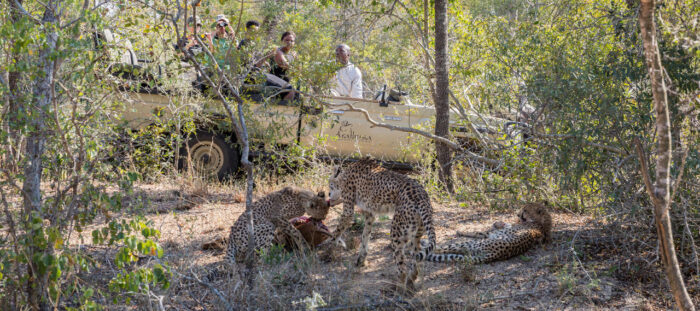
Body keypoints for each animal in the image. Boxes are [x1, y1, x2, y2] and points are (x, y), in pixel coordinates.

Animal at [326, 160, 434, 294]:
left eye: (330, 184)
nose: (328, 194)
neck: (344, 176)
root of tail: (422, 195)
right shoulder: (370, 214)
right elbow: (365, 235)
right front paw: (361, 259)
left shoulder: (348, 212)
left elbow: (337, 231)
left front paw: (327, 249)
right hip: (416, 233)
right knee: (417, 258)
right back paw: (410, 280)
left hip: (396, 233)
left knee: (402, 266)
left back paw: (398, 289)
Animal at [422, 204, 552, 264]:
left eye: (525, 210)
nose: (517, 214)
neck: (542, 222)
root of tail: (496, 255)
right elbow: (503, 224)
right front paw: (498, 222)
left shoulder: (488, 234)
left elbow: (475, 232)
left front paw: (460, 231)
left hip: (471, 244)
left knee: (442, 248)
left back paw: (424, 244)